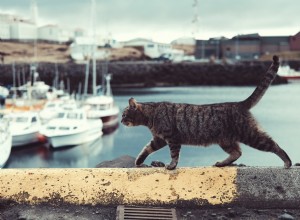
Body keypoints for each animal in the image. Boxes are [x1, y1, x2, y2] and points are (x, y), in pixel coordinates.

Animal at [120, 55, 292, 170]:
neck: (151, 115)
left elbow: (174, 154)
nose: (121, 121)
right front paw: (139, 161)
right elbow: (146, 149)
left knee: (273, 145)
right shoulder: (159, 139)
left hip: (250, 135)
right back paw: (222, 163)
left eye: (123, 114)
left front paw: (172, 165)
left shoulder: (172, 138)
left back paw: (287, 162)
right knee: (237, 153)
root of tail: (239, 104)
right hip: (226, 141)